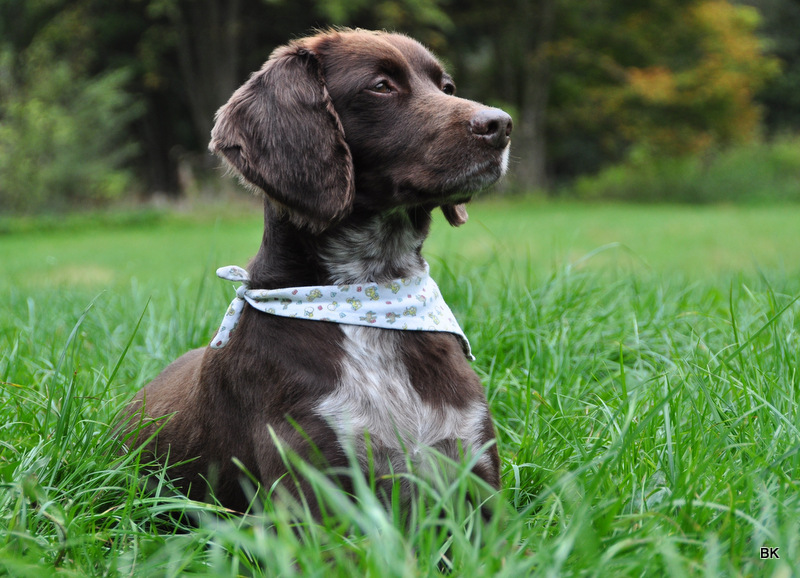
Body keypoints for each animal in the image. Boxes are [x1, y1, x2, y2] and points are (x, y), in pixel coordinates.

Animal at [125, 28, 512, 512]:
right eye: (381, 86)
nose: (501, 125)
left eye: (447, 87)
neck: (371, 297)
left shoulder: (474, 469)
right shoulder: (311, 486)